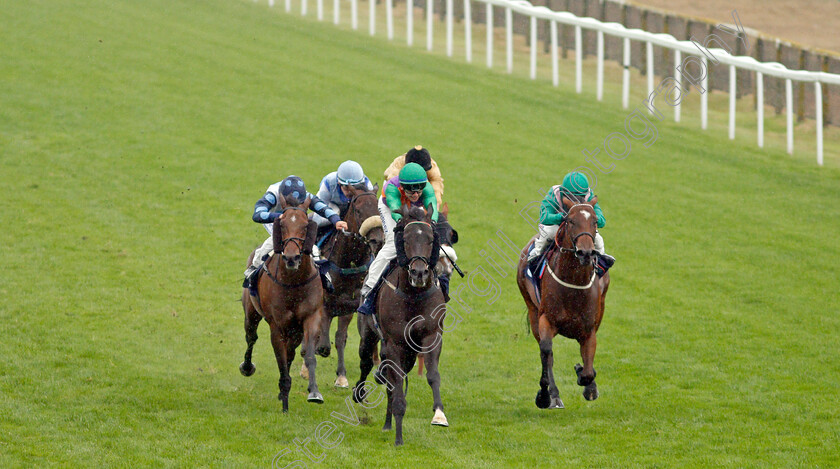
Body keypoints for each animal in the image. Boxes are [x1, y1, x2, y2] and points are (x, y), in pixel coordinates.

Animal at [240, 194, 328, 410]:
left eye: (305, 225)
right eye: (282, 224)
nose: (291, 258)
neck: (294, 282)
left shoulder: (310, 318)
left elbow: (308, 356)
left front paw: (314, 392)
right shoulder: (277, 326)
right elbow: (281, 362)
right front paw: (285, 403)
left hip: (294, 330)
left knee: (291, 351)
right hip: (251, 313)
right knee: (251, 337)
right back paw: (247, 367)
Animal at [312, 186, 384, 388]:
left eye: (379, 210)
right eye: (358, 210)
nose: (378, 240)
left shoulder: (348, 307)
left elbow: (340, 338)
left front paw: (341, 376)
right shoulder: (325, 304)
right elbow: (322, 341)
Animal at [352, 206, 450, 446]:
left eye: (431, 239)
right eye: (405, 239)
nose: (419, 273)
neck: (413, 294)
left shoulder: (432, 336)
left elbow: (432, 375)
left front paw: (439, 414)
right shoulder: (394, 343)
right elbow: (394, 385)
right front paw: (398, 436)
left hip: (409, 352)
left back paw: (387, 423)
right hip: (368, 334)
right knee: (366, 361)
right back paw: (360, 393)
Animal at [516, 196, 608, 408]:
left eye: (595, 222)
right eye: (571, 221)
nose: (585, 252)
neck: (574, 284)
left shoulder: (589, 329)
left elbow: (588, 370)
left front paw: (586, 381)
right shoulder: (546, 320)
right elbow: (546, 352)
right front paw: (544, 396)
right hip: (532, 309)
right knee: (547, 354)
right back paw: (554, 395)